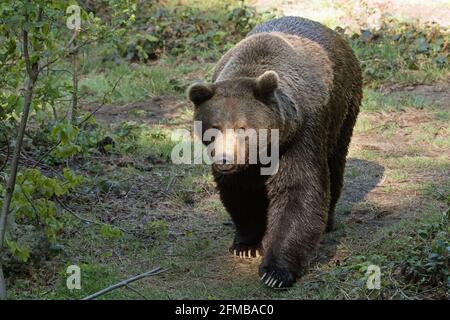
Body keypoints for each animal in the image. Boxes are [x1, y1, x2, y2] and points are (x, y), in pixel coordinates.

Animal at [186, 16, 362, 288]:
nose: (225, 159)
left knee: (335, 166)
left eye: (242, 127)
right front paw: (246, 245)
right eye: (214, 127)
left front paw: (276, 271)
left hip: (343, 109)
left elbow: (299, 190)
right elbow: (240, 192)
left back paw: (329, 222)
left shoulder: (301, 134)